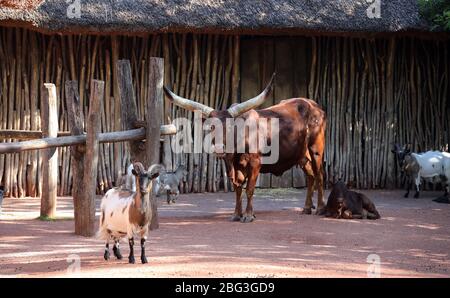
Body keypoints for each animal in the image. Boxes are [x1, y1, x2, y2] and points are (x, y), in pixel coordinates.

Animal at [163, 75, 326, 222]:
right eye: (211, 127)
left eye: (230, 127)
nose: (219, 148)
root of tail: (314, 105)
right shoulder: (233, 165)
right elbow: (237, 189)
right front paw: (236, 214)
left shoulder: (255, 163)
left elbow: (249, 189)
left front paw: (248, 215)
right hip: (302, 155)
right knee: (310, 176)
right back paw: (306, 208)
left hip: (316, 149)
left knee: (319, 175)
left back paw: (320, 208)